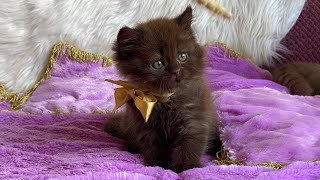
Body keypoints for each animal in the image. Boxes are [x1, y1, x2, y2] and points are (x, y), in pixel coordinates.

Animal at [104, 6, 221, 173]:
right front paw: (158, 164)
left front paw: (186, 167)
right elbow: (154, 147)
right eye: (158, 64)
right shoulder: (145, 125)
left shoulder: (194, 119)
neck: (166, 99)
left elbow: (190, 145)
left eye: (182, 56)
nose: (176, 71)